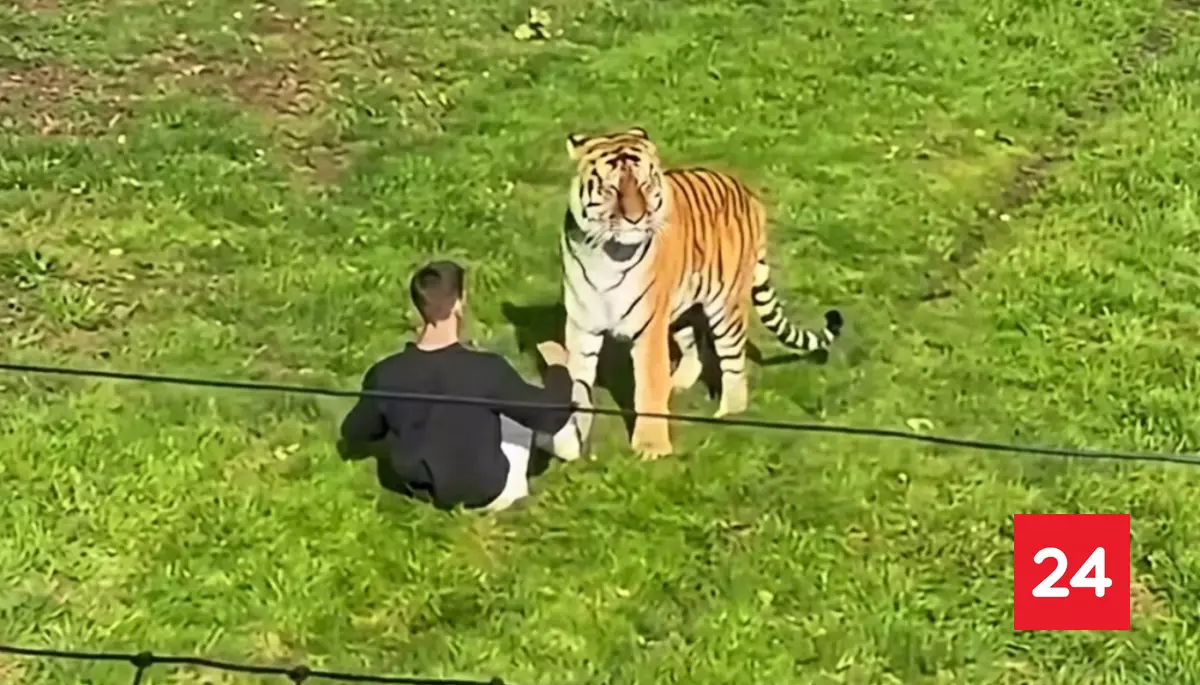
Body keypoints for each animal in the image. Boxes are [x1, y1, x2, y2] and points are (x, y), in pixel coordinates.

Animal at [546, 126, 844, 461]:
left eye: (645, 184)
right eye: (611, 189)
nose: (636, 219)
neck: (607, 254)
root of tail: (747, 193)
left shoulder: (648, 328)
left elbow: (648, 386)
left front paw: (651, 448)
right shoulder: (582, 326)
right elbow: (577, 383)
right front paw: (572, 439)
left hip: (725, 309)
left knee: (733, 364)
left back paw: (727, 414)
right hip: (682, 306)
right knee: (693, 348)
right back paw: (678, 383)